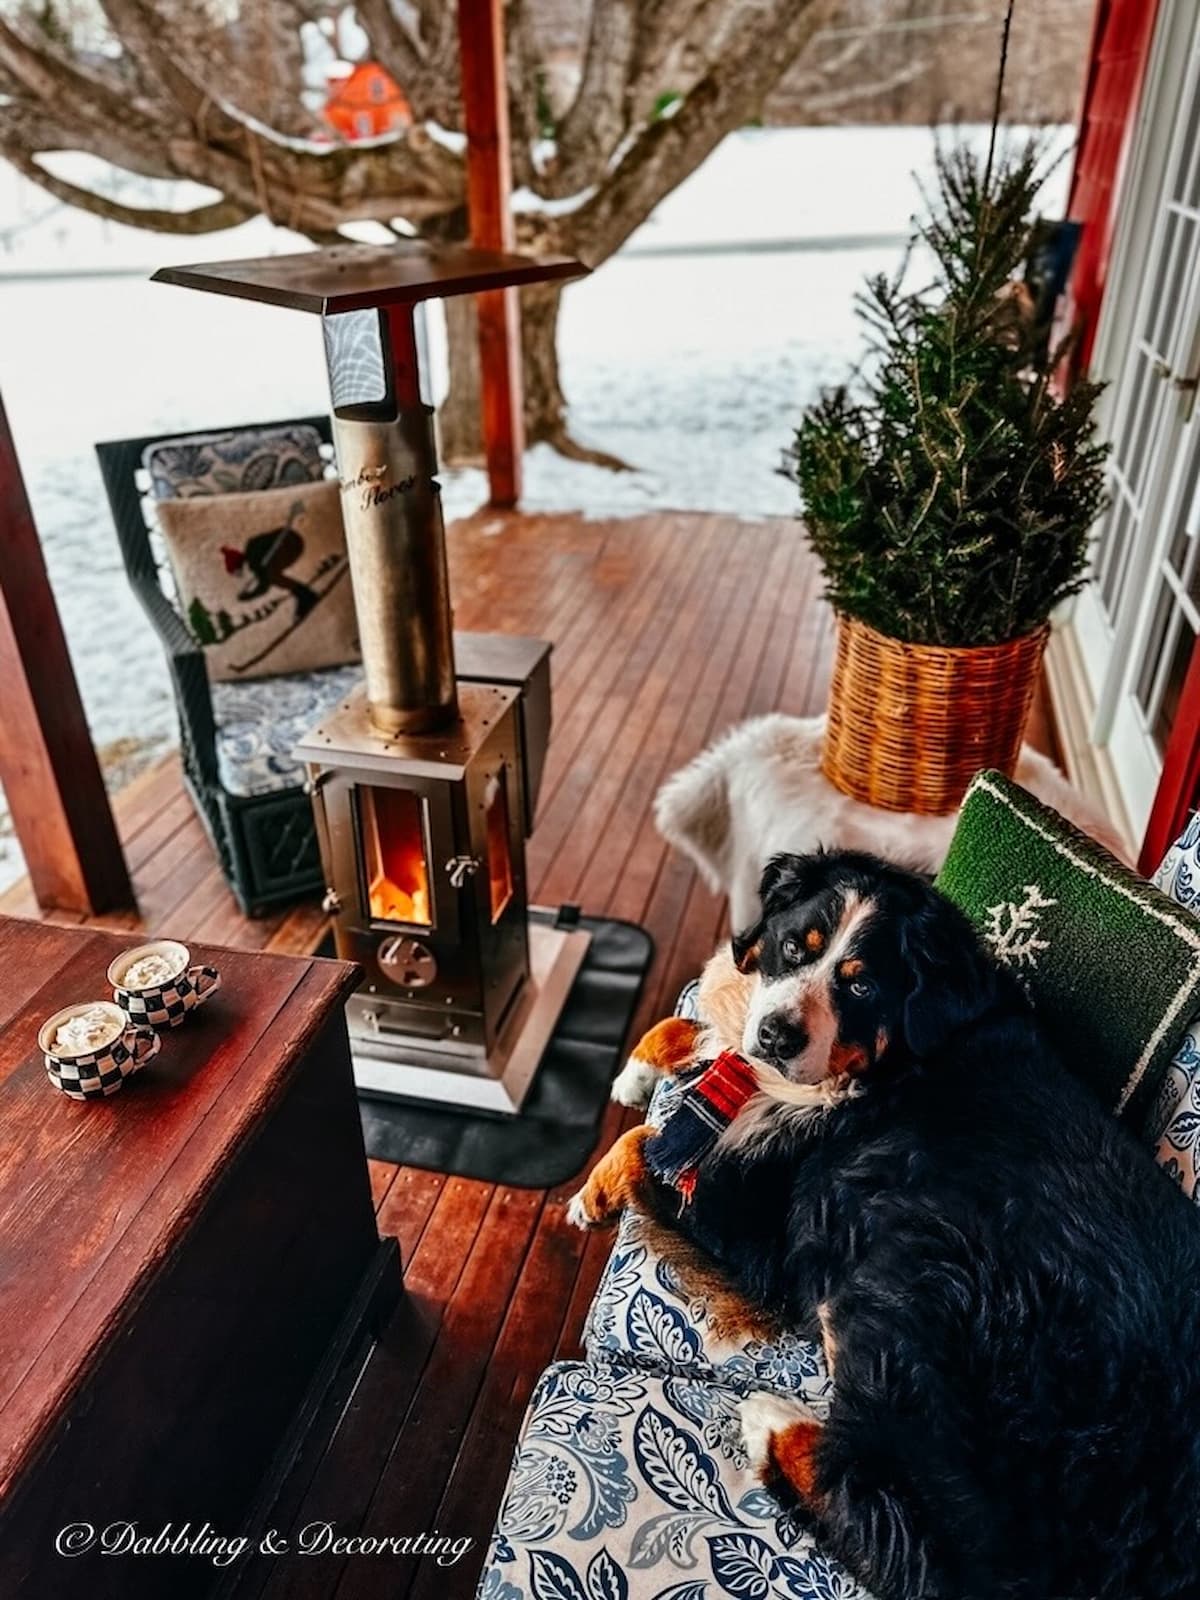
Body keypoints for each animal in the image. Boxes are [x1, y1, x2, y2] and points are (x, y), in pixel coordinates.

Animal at [569, 851, 1200, 1600]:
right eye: (795, 947)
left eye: (862, 986)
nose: (778, 1035)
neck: (886, 1067)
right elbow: (690, 1032)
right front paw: (639, 1070)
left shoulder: (765, 1242)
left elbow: (648, 1145)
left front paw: (594, 1192)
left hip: (931, 1280)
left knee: (908, 1544)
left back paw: (770, 1423)